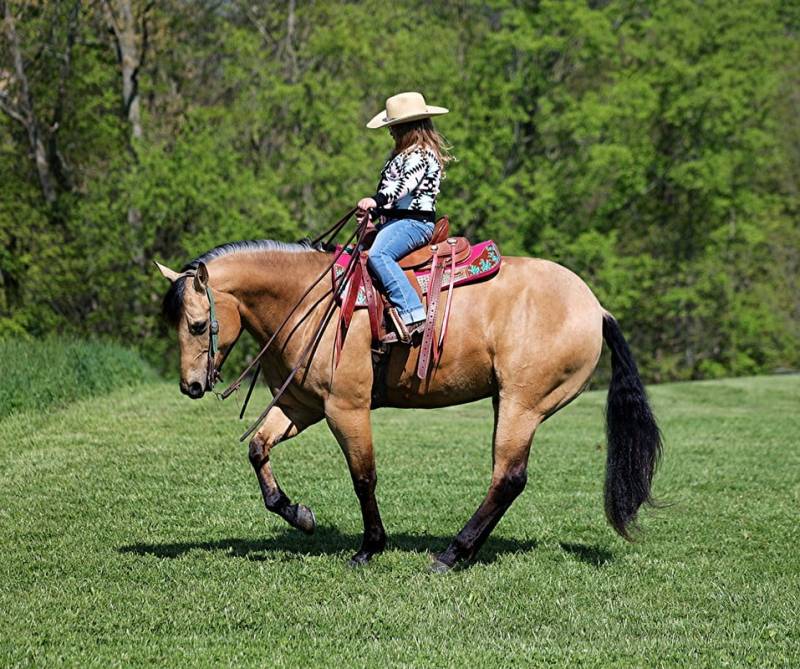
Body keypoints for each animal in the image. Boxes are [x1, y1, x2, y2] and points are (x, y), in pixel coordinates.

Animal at [156, 238, 661, 571]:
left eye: (197, 325)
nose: (191, 386)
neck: (311, 300)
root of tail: (595, 308)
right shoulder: (301, 406)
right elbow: (258, 449)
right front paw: (299, 515)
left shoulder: (346, 409)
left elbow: (363, 478)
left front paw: (369, 547)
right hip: (507, 403)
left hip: (523, 405)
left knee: (508, 478)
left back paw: (452, 554)